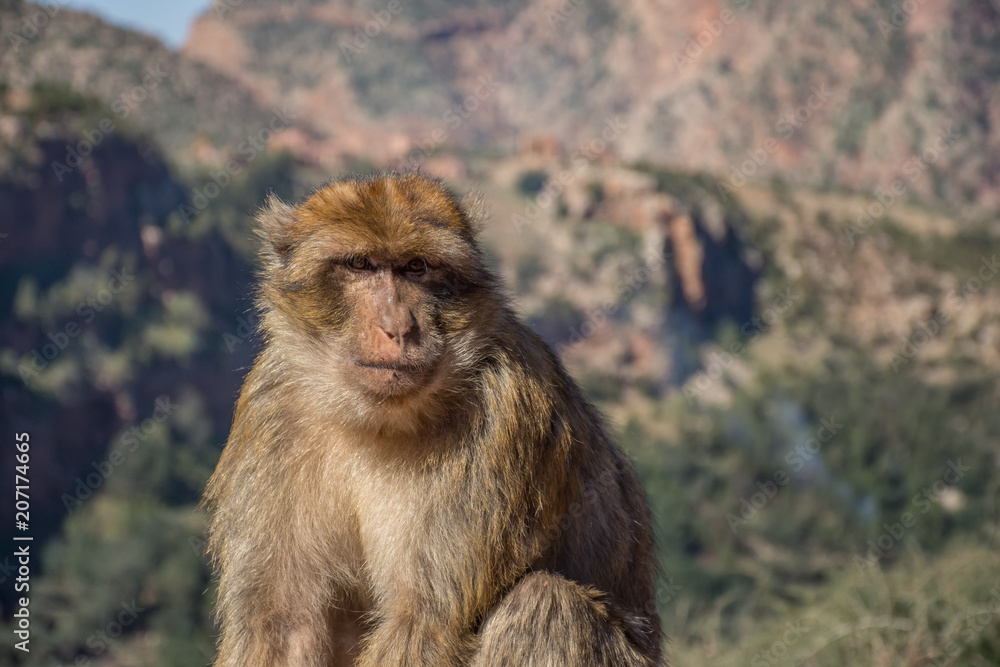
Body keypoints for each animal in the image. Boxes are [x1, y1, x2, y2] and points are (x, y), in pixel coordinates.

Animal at [202, 172, 664, 666]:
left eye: (416, 267)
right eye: (360, 265)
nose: (398, 327)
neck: (374, 420)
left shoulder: (503, 408)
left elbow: (424, 622)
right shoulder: (272, 407)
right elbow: (281, 626)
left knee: (546, 605)